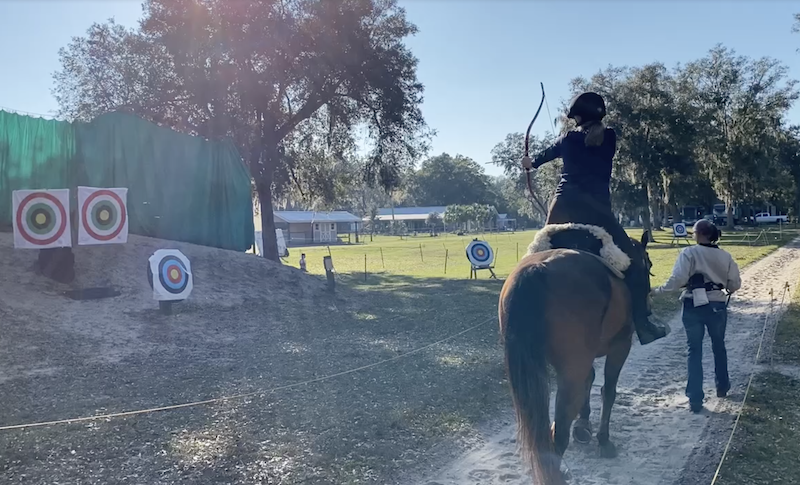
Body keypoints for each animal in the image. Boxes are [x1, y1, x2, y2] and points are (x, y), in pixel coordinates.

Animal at [496, 228, 652, 484]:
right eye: (647, 264)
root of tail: (537, 270)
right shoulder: (620, 346)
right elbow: (608, 390)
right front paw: (603, 440)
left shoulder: (583, 359)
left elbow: (590, 382)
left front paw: (583, 425)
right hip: (574, 368)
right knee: (557, 436)